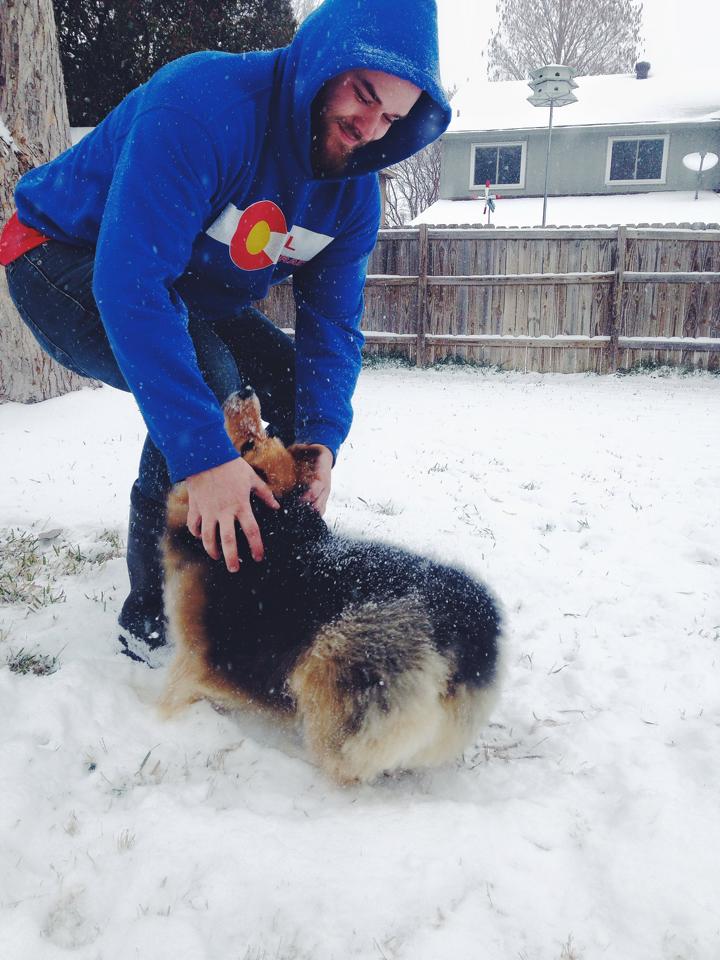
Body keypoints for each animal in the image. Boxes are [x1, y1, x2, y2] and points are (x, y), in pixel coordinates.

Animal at [160, 387, 503, 784]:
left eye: (248, 445)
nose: (245, 391)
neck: (276, 522)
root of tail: (460, 630)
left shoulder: (193, 656)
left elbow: (175, 692)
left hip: (333, 668)